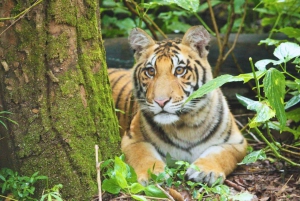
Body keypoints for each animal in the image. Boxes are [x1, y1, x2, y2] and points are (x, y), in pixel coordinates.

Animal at [108, 25, 246, 186]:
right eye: (150, 71)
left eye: (180, 70)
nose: (161, 101)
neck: (185, 126)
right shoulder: (132, 139)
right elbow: (144, 155)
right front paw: (153, 174)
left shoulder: (237, 143)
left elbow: (219, 154)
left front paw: (204, 171)